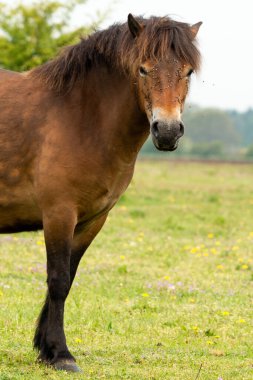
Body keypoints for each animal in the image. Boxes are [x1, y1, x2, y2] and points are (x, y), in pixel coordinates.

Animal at [0, 14, 202, 372]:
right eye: (142, 69)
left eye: (188, 71)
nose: (166, 131)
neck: (80, 117)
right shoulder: (59, 214)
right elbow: (58, 279)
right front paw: (61, 354)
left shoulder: (92, 220)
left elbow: (68, 278)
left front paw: (46, 349)